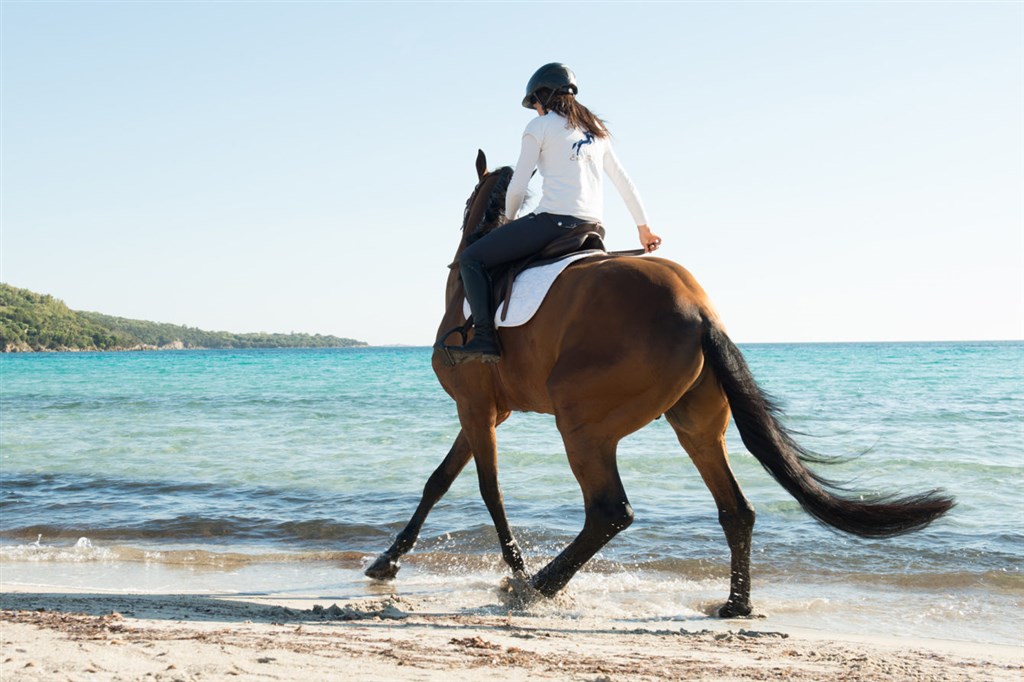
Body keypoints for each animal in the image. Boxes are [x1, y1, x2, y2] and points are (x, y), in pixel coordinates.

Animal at [366, 150, 950, 614]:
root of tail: (698, 311)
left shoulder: (475, 406)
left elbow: (486, 491)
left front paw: (513, 568)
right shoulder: (488, 409)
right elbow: (439, 480)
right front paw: (387, 562)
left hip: (582, 424)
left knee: (609, 511)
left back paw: (537, 586)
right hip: (695, 425)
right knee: (735, 510)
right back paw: (736, 604)